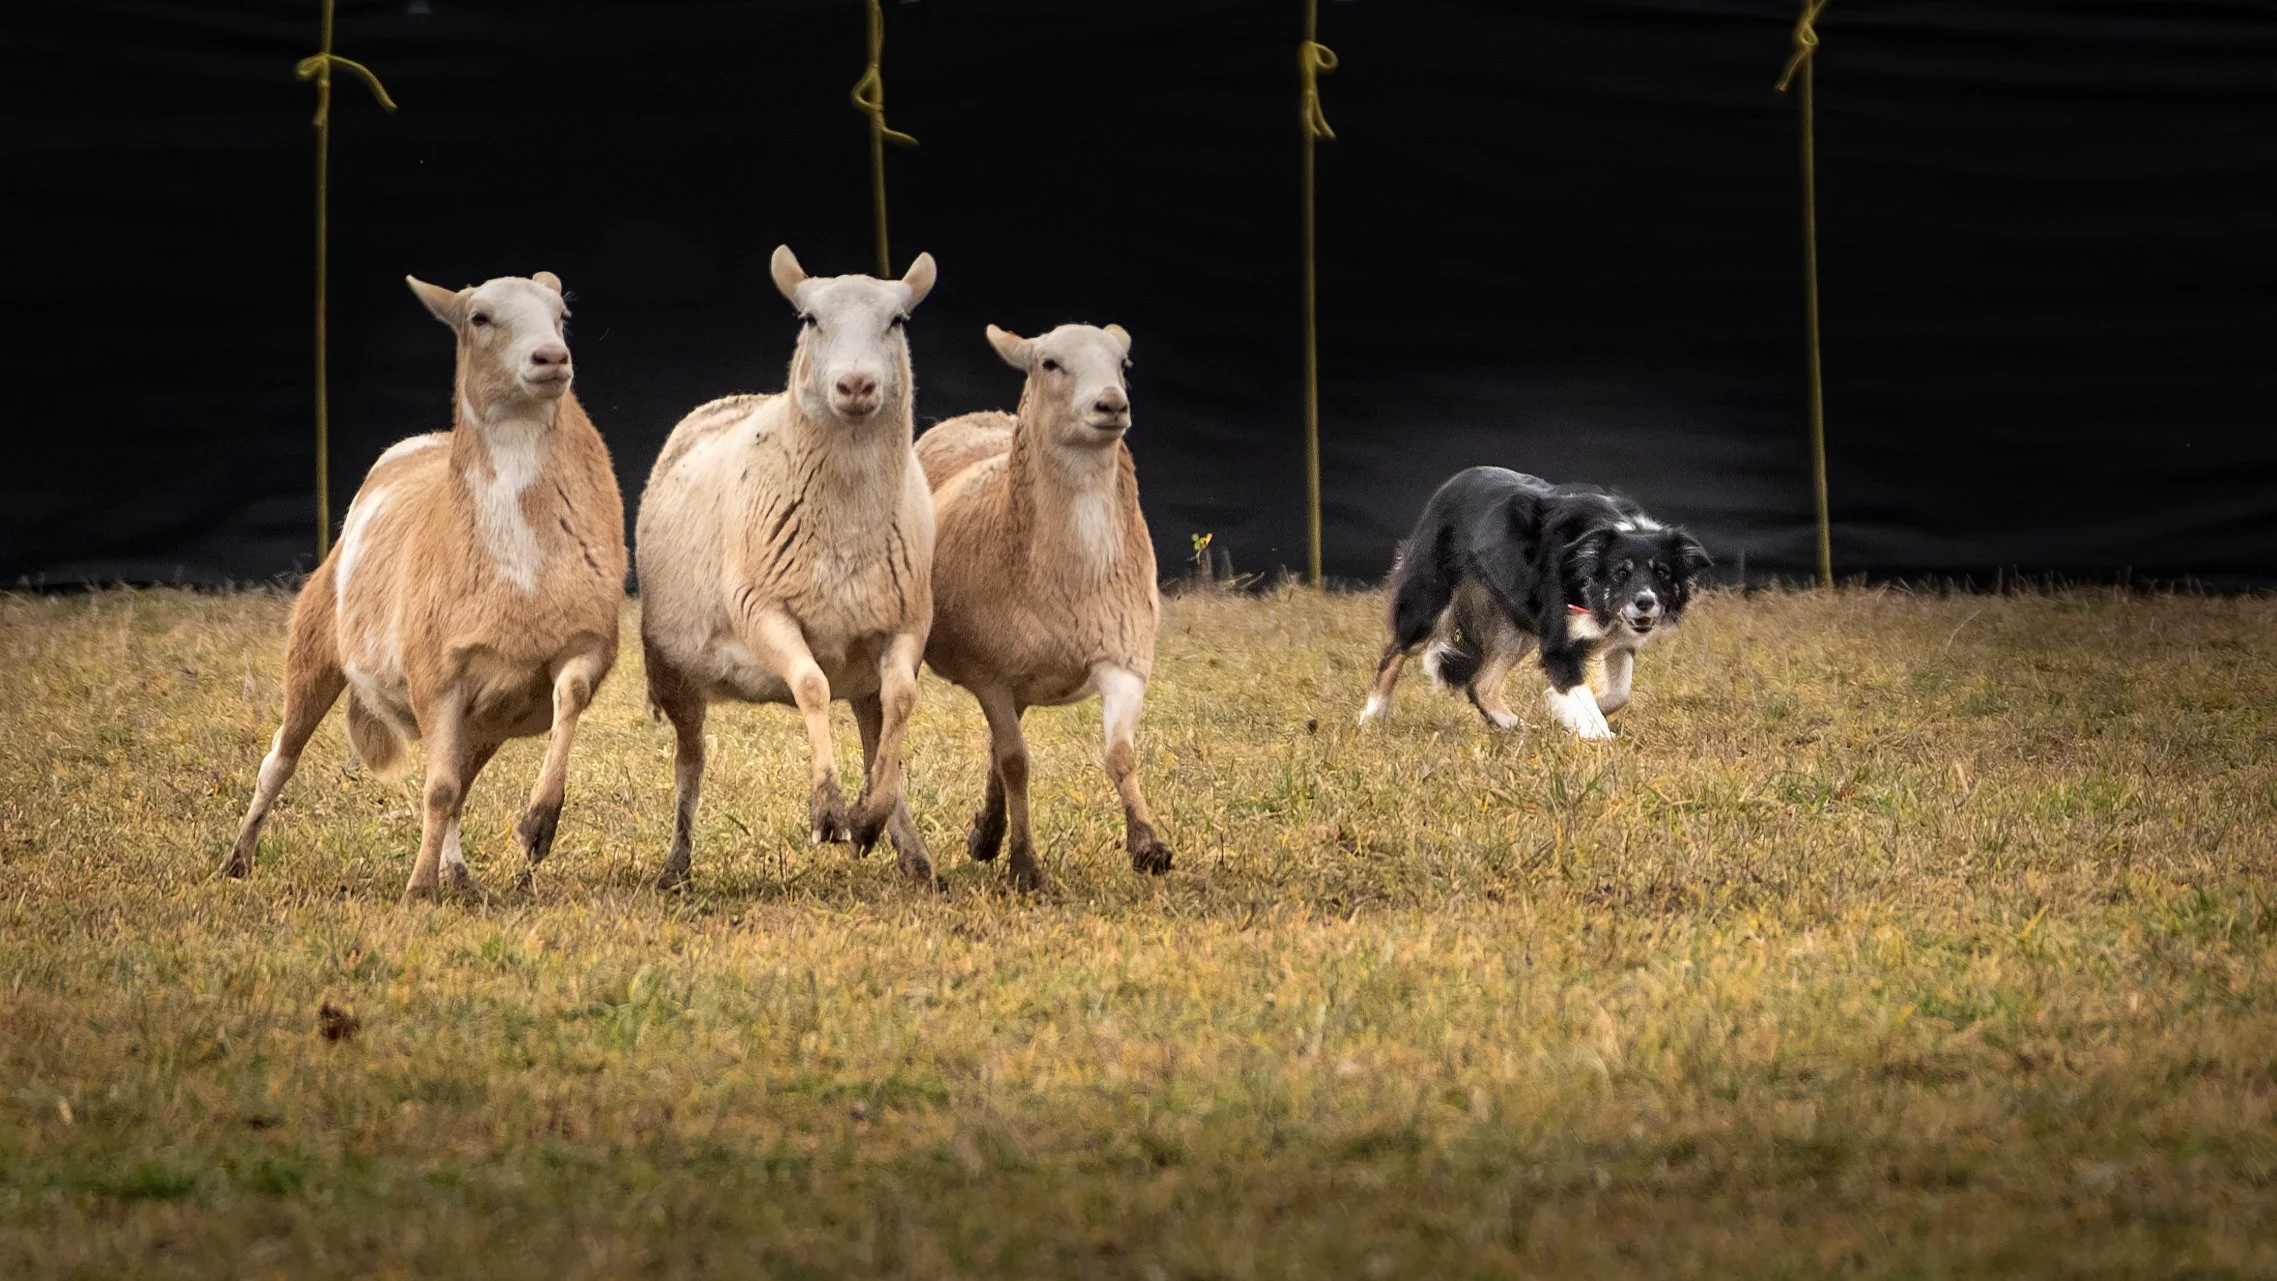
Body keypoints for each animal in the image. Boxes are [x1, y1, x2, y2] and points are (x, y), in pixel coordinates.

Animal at [222, 271, 627, 901]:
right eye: (478, 318)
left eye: (560, 314)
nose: (551, 358)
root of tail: (418, 442)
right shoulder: (438, 675)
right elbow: (436, 791)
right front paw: (416, 889)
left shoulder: (577, 643)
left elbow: (569, 699)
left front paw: (538, 825)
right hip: (314, 650)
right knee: (279, 761)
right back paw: (237, 860)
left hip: (486, 719)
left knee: (459, 783)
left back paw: (457, 872)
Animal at [636, 246, 940, 890]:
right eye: (810, 319)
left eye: (897, 320)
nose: (856, 384)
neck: (847, 522)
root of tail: (731, 398)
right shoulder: (762, 609)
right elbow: (810, 685)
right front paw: (827, 810)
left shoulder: (907, 620)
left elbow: (903, 701)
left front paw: (868, 816)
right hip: (675, 671)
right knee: (689, 764)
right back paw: (676, 866)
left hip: (864, 677)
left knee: (878, 733)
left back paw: (909, 849)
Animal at [913, 322, 1171, 890]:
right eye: (1049, 363)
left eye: (1123, 363)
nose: (1111, 404)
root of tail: (978, 416)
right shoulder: (991, 677)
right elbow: (1017, 763)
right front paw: (1026, 866)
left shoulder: (1122, 656)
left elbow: (1120, 754)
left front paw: (1148, 846)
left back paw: (987, 833)